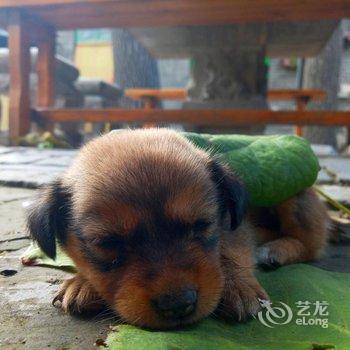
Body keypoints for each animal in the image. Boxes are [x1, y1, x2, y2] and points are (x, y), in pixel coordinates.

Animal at [26, 129, 328, 328]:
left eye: (202, 225)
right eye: (107, 244)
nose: (178, 305)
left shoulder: (234, 227)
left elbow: (231, 251)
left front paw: (238, 286)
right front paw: (83, 283)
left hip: (293, 195)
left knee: (311, 245)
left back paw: (276, 249)